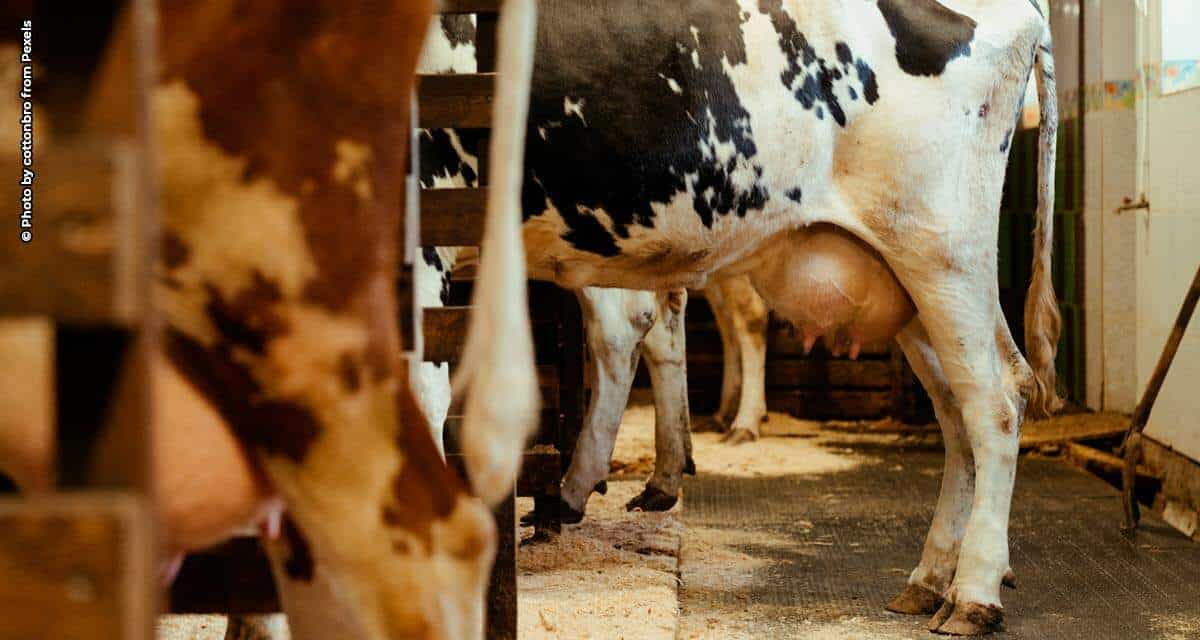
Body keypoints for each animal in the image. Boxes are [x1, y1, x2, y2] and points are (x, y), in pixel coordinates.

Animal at [504, 0, 1060, 629]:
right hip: (906, 283)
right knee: (958, 405)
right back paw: (930, 579)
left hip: (942, 256)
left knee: (995, 400)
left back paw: (973, 594)